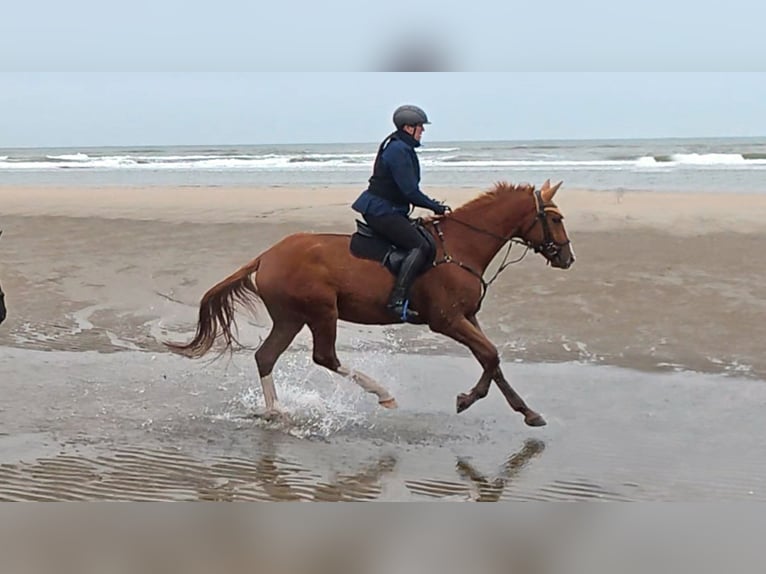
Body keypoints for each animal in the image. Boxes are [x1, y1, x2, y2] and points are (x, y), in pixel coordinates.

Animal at [166, 179, 575, 427]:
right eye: (555, 218)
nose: (568, 259)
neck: (461, 247)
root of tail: (266, 256)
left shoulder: (468, 317)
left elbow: (492, 360)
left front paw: (528, 413)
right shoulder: (447, 320)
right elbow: (490, 356)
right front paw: (467, 399)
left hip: (290, 318)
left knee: (266, 357)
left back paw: (277, 412)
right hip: (321, 311)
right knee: (325, 357)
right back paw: (382, 394)